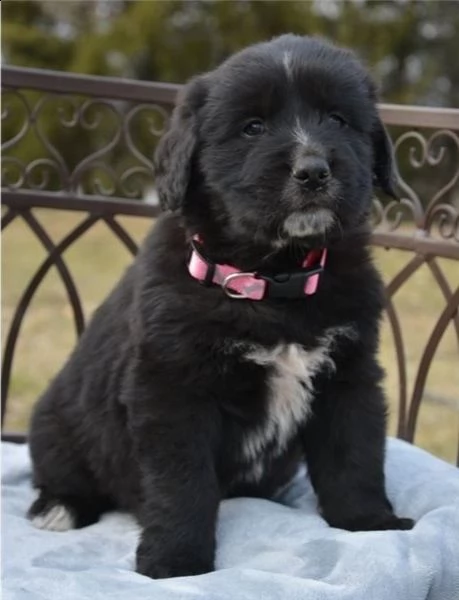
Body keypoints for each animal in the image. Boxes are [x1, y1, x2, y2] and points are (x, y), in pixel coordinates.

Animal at [29, 35, 416, 580]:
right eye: (252, 127)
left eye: (338, 120)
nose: (313, 170)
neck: (274, 281)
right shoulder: (173, 390)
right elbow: (182, 484)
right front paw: (176, 563)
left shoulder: (350, 372)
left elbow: (355, 454)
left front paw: (368, 523)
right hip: (56, 421)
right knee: (64, 472)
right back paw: (58, 508)